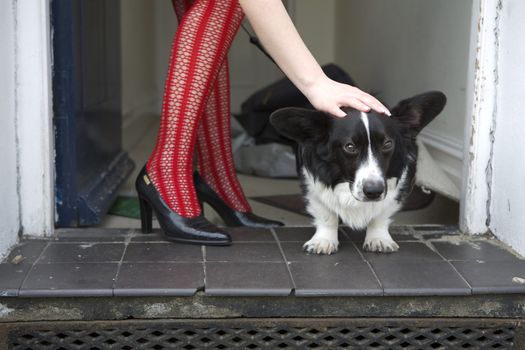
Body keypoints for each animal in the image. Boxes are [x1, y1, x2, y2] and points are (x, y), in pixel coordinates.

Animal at [270, 91, 446, 254]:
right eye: (350, 146)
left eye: (387, 144)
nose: (374, 191)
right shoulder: (312, 185)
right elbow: (327, 214)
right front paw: (324, 240)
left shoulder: (398, 187)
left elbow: (381, 214)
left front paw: (378, 238)